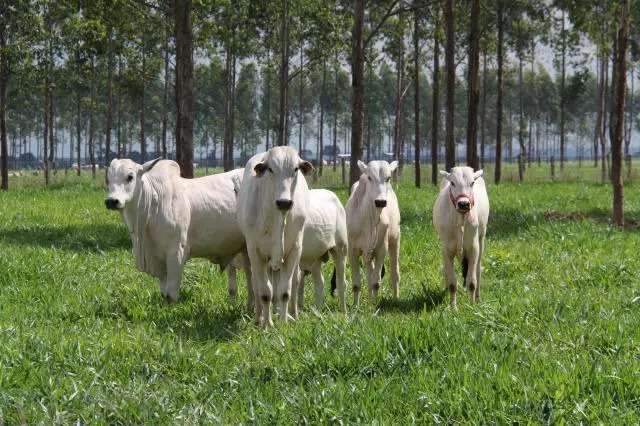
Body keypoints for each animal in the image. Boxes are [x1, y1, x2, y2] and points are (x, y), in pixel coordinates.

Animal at [104, 159, 251, 302]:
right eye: (108, 179)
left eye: (130, 177)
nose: (111, 201)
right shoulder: (159, 261)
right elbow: (164, 292)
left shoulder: (176, 253)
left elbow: (172, 293)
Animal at [236, 146, 314, 326]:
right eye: (270, 169)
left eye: (295, 169)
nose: (284, 202)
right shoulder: (255, 252)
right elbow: (265, 292)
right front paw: (267, 324)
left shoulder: (294, 251)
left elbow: (284, 291)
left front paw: (283, 322)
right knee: (257, 285)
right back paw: (259, 317)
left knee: (291, 282)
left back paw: (291, 314)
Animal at [344, 161, 400, 306]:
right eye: (369, 177)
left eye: (388, 178)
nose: (380, 202)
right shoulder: (352, 251)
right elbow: (357, 283)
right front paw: (356, 306)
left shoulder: (381, 250)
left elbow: (376, 282)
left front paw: (374, 305)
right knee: (369, 272)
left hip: (395, 240)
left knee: (394, 274)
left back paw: (395, 298)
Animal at [436, 165, 490, 308]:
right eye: (452, 183)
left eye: (472, 183)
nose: (464, 204)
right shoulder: (447, 249)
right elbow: (452, 283)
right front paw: (453, 307)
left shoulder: (473, 248)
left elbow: (472, 281)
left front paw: (472, 305)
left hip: (481, 238)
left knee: (478, 270)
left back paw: (478, 297)